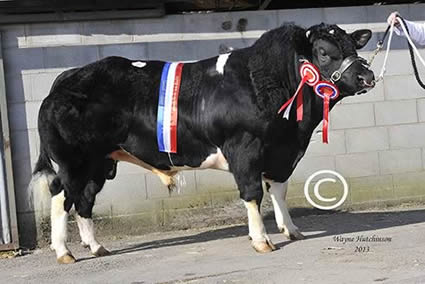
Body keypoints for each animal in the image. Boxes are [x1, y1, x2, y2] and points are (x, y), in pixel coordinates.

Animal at [29, 22, 372, 264]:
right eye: (324, 52)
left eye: (353, 46)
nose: (366, 76)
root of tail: (68, 77)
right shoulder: (245, 149)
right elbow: (253, 194)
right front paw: (262, 240)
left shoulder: (282, 153)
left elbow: (279, 191)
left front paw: (292, 230)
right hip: (73, 161)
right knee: (62, 196)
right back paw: (64, 252)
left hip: (100, 162)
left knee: (84, 200)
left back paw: (97, 247)